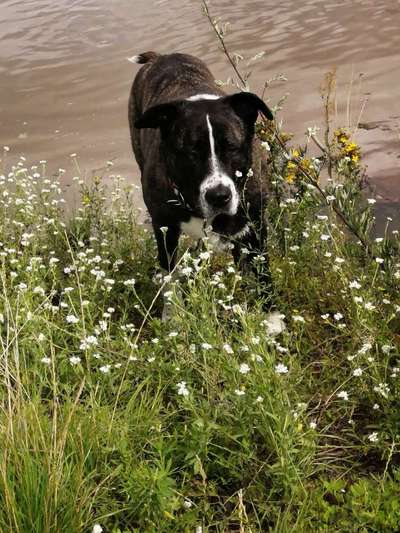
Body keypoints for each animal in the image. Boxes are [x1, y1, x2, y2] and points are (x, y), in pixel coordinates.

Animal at [128, 50, 276, 314]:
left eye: (231, 147)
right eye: (191, 152)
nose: (219, 196)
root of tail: (161, 55)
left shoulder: (255, 226)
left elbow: (263, 274)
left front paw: (272, 319)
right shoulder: (164, 229)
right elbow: (170, 277)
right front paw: (174, 315)